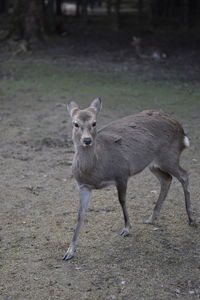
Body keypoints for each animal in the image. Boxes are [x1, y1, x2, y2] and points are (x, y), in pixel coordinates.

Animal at [63, 98, 196, 260]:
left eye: (94, 123)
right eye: (75, 124)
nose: (87, 140)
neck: (96, 170)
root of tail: (180, 128)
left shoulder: (122, 173)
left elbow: (122, 200)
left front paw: (126, 228)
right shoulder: (83, 186)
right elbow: (80, 214)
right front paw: (69, 251)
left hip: (170, 156)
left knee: (184, 175)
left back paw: (191, 219)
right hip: (154, 164)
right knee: (166, 179)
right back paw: (151, 218)